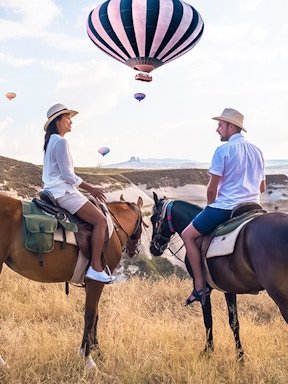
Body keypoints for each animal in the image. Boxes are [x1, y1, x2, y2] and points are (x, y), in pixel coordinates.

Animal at [0, 192, 143, 368]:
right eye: (144, 223)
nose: (134, 250)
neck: (112, 228)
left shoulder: (91, 284)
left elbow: (95, 315)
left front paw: (96, 351)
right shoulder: (96, 282)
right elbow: (90, 316)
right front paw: (88, 358)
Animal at [150, 194, 288, 362]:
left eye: (152, 219)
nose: (153, 248)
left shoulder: (204, 289)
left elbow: (208, 319)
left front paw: (208, 352)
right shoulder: (229, 288)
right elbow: (234, 322)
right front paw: (240, 358)